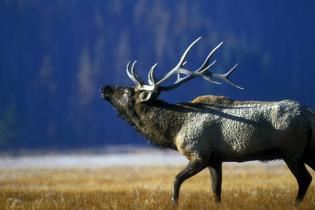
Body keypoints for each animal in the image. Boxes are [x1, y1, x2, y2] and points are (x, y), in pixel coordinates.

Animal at [102, 36, 315, 205]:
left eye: (126, 91)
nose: (104, 87)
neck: (174, 130)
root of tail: (309, 114)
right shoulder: (215, 159)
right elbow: (216, 190)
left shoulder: (199, 154)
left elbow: (176, 181)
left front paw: (174, 203)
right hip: (307, 151)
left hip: (291, 151)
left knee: (305, 179)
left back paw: (295, 204)